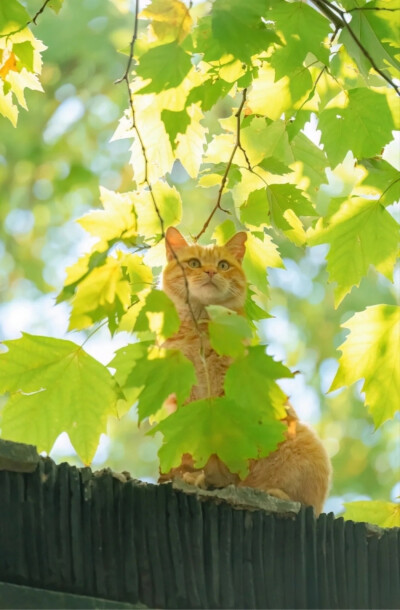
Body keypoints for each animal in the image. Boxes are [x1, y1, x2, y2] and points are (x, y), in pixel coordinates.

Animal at [159, 227, 332, 512]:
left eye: (223, 265)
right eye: (194, 263)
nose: (210, 271)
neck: (200, 331)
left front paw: (213, 478)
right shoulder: (183, 400)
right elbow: (189, 447)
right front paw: (188, 474)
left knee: (305, 503)